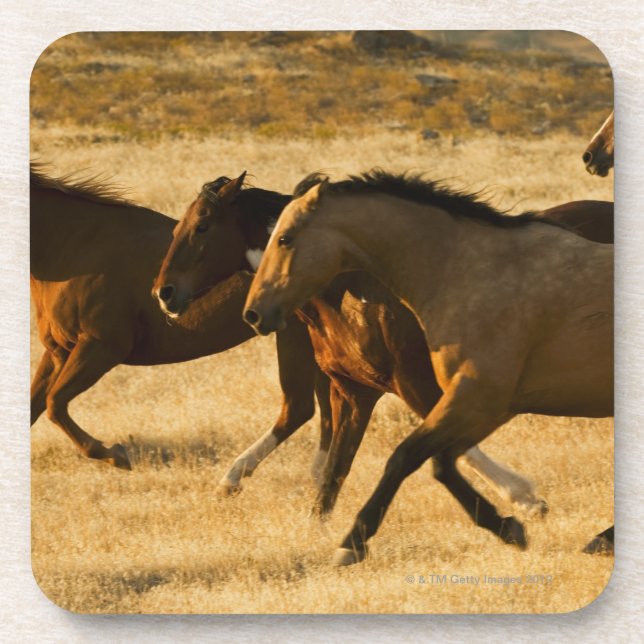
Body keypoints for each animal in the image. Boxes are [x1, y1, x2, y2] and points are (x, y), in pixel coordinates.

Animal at [30, 165, 330, 476]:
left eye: (202, 227)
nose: (164, 294)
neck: (76, 245)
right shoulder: (58, 351)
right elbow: (35, 406)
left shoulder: (102, 348)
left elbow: (54, 403)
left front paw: (116, 454)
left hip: (297, 336)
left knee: (299, 408)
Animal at [156, 173, 612, 542]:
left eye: (202, 226)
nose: (164, 293)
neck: (353, 289)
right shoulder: (353, 392)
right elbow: (334, 473)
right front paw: (322, 532)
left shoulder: (419, 384)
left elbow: (447, 449)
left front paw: (525, 499)